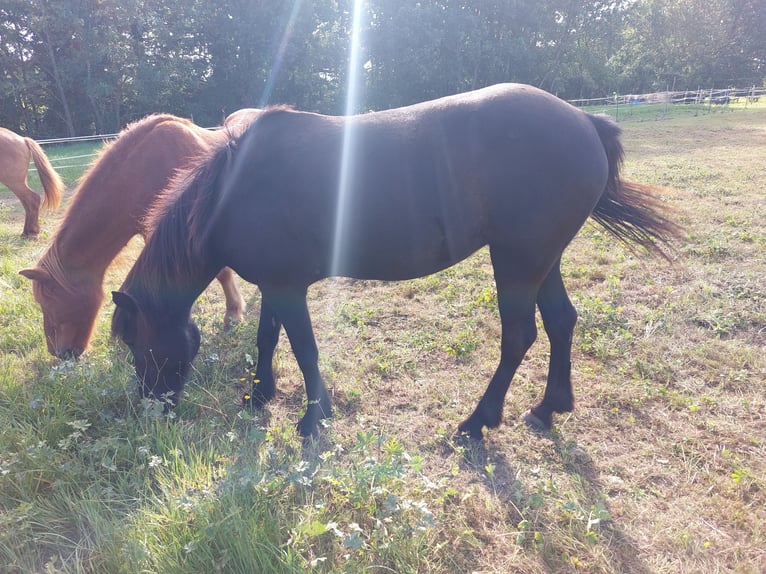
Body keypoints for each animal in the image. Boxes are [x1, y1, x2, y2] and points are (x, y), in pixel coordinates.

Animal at [111, 84, 680, 439]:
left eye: (138, 344)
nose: (150, 408)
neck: (236, 190)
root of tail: (582, 119)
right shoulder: (275, 284)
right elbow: (267, 339)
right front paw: (260, 396)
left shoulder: (289, 289)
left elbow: (305, 350)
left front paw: (312, 420)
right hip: (543, 257)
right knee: (562, 321)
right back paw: (547, 409)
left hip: (518, 260)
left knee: (519, 336)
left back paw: (477, 423)